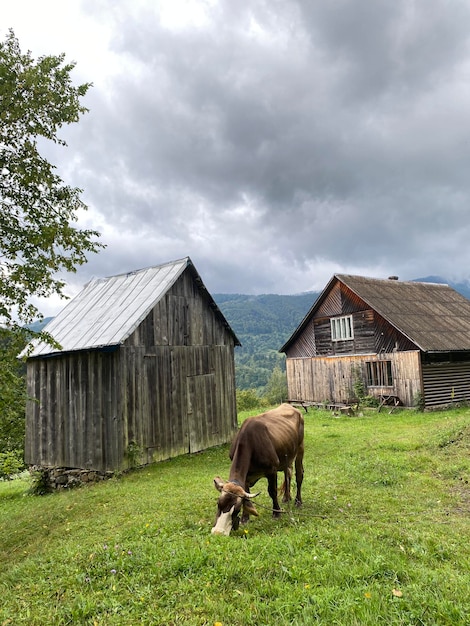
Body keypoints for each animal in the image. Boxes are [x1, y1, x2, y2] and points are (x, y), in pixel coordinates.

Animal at [210, 402, 304, 532]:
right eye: (218, 503)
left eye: (236, 509)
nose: (218, 531)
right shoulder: (246, 476)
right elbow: (247, 496)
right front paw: (245, 518)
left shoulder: (272, 470)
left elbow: (272, 491)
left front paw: (276, 513)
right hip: (287, 455)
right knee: (288, 474)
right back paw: (286, 497)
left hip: (300, 448)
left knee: (299, 476)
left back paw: (298, 501)